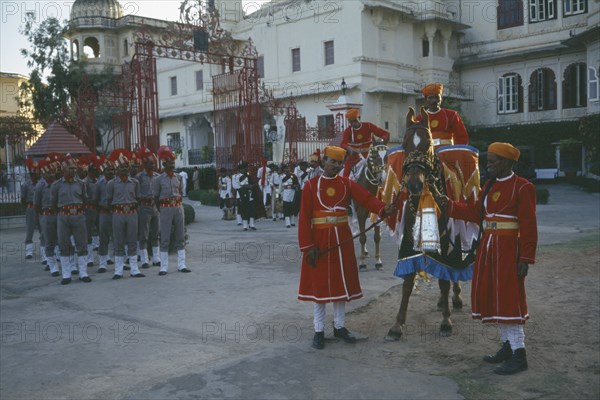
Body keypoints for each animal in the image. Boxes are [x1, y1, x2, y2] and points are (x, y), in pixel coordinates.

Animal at [352, 142, 390, 270]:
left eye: (386, 156)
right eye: (374, 156)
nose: (383, 178)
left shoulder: (378, 213)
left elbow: (377, 237)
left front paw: (378, 261)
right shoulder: (360, 213)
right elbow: (363, 238)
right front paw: (362, 263)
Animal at [382, 106, 480, 338]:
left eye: (427, 145)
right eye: (405, 144)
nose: (415, 184)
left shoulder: (446, 242)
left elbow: (444, 280)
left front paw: (446, 320)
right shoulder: (409, 242)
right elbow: (408, 282)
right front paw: (398, 324)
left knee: (453, 274)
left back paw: (455, 298)